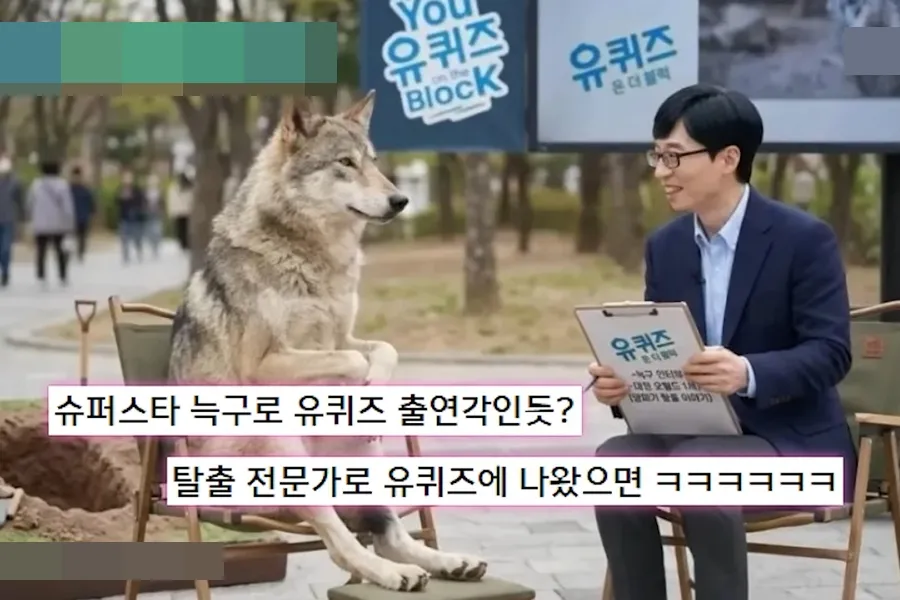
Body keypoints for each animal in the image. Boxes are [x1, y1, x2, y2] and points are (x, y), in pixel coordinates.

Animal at [167, 91, 488, 591]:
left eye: (373, 162)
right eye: (345, 163)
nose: (401, 200)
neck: (312, 258)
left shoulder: (345, 334)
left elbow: (383, 351)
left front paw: (377, 388)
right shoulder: (265, 363)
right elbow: (351, 364)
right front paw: (364, 384)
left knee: (385, 530)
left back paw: (445, 563)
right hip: (274, 444)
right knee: (340, 540)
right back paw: (394, 575)